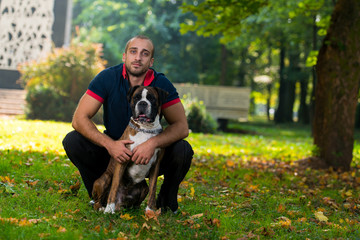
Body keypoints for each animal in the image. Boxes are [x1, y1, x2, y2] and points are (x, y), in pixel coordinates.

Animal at [91, 86, 167, 214]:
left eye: (152, 98)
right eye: (136, 98)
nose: (142, 103)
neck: (145, 129)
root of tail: (120, 203)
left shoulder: (156, 165)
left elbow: (153, 188)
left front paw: (150, 211)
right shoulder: (122, 159)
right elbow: (114, 186)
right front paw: (109, 209)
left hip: (144, 188)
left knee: (139, 199)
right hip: (105, 178)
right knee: (98, 200)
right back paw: (102, 207)